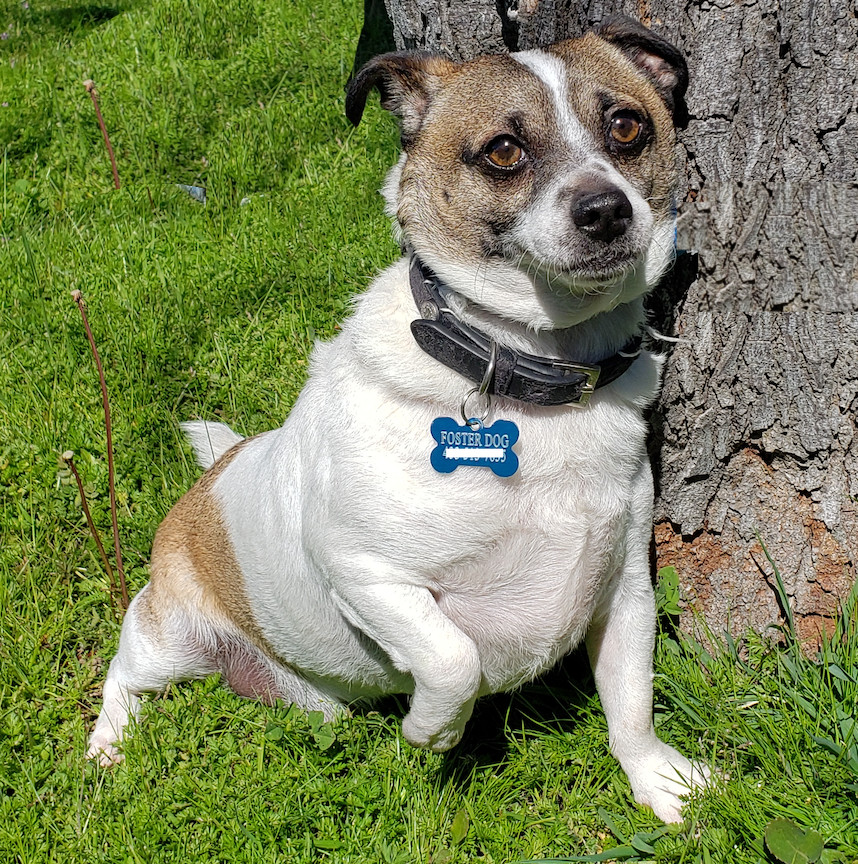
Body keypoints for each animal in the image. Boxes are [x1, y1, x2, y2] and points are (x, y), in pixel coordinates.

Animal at [87, 15, 704, 824]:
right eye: (503, 150)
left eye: (628, 127)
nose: (605, 208)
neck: (534, 373)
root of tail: (221, 466)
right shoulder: (365, 573)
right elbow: (455, 658)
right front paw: (432, 731)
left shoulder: (627, 591)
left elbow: (630, 705)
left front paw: (660, 783)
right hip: (167, 635)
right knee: (123, 672)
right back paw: (108, 743)